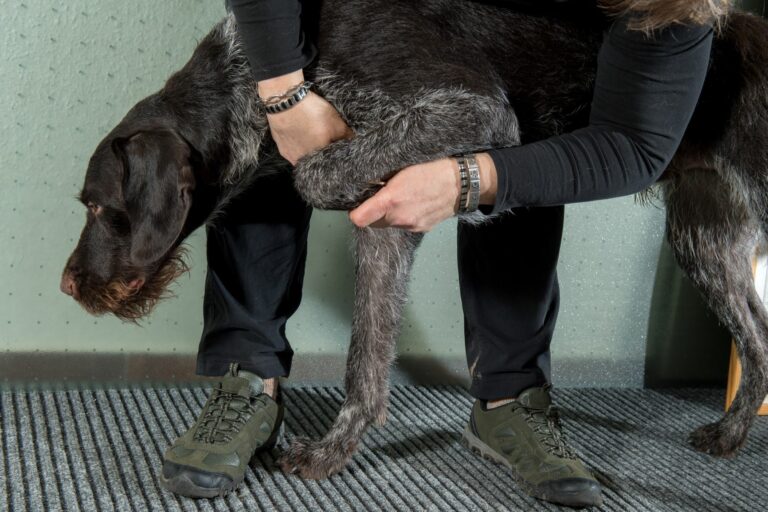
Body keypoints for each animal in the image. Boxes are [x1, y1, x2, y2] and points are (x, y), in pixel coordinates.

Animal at [63, 1, 768, 480]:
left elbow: (315, 172)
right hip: (702, 238)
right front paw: (336, 452)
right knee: (757, 339)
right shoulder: (389, 221)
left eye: (98, 205)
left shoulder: (473, 112)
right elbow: (366, 363)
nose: (68, 284)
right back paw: (733, 434)